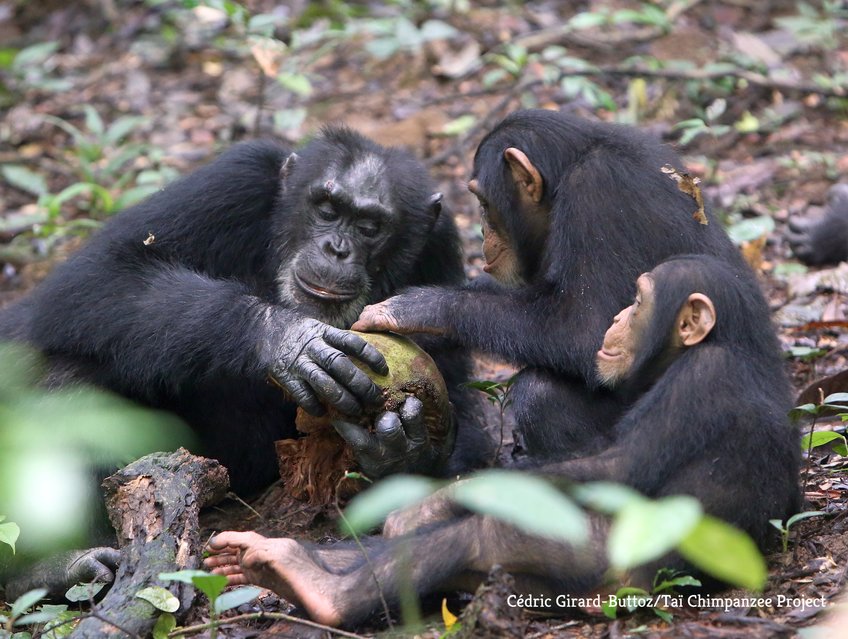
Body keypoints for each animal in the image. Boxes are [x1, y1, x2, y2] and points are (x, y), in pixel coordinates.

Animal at [0, 125, 490, 496]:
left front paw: (405, 449)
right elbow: (101, 272)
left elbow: (458, 398)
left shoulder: (441, 245)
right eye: (326, 208)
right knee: (70, 371)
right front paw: (285, 339)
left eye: (370, 227)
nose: (336, 248)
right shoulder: (236, 178)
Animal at [204, 256, 800, 632]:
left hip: (616, 576)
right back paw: (287, 562)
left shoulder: (704, 378)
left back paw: (323, 591)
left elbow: (621, 463)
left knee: (492, 535)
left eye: (638, 301)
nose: (619, 317)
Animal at [352, 109, 756, 460]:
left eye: (483, 202)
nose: (481, 230)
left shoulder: (595, 193)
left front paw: (416, 308)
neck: (567, 173)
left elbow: (585, 328)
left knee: (540, 393)